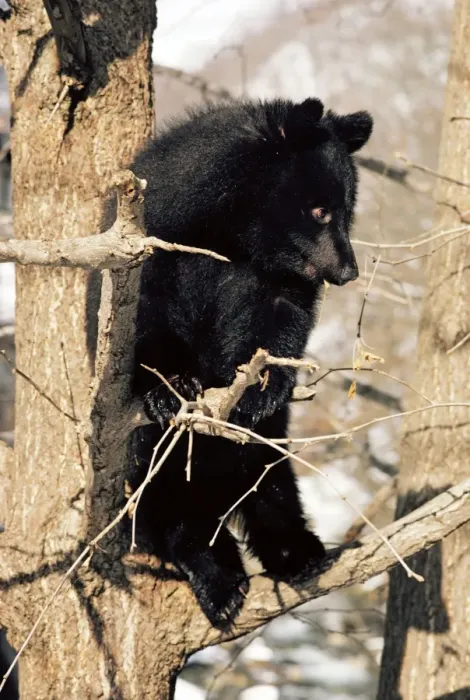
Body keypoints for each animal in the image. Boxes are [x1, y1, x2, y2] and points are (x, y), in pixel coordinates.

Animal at [130, 97, 373, 629]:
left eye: (348, 211)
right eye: (319, 210)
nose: (348, 271)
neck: (230, 236)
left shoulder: (274, 280)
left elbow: (281, 319)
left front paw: (261, 387)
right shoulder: (155, 241)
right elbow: (147, 314)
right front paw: (169, 389)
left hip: (264, 454)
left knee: (271, 478)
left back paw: (297, 550)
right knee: (164, 496)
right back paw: (217, 577)